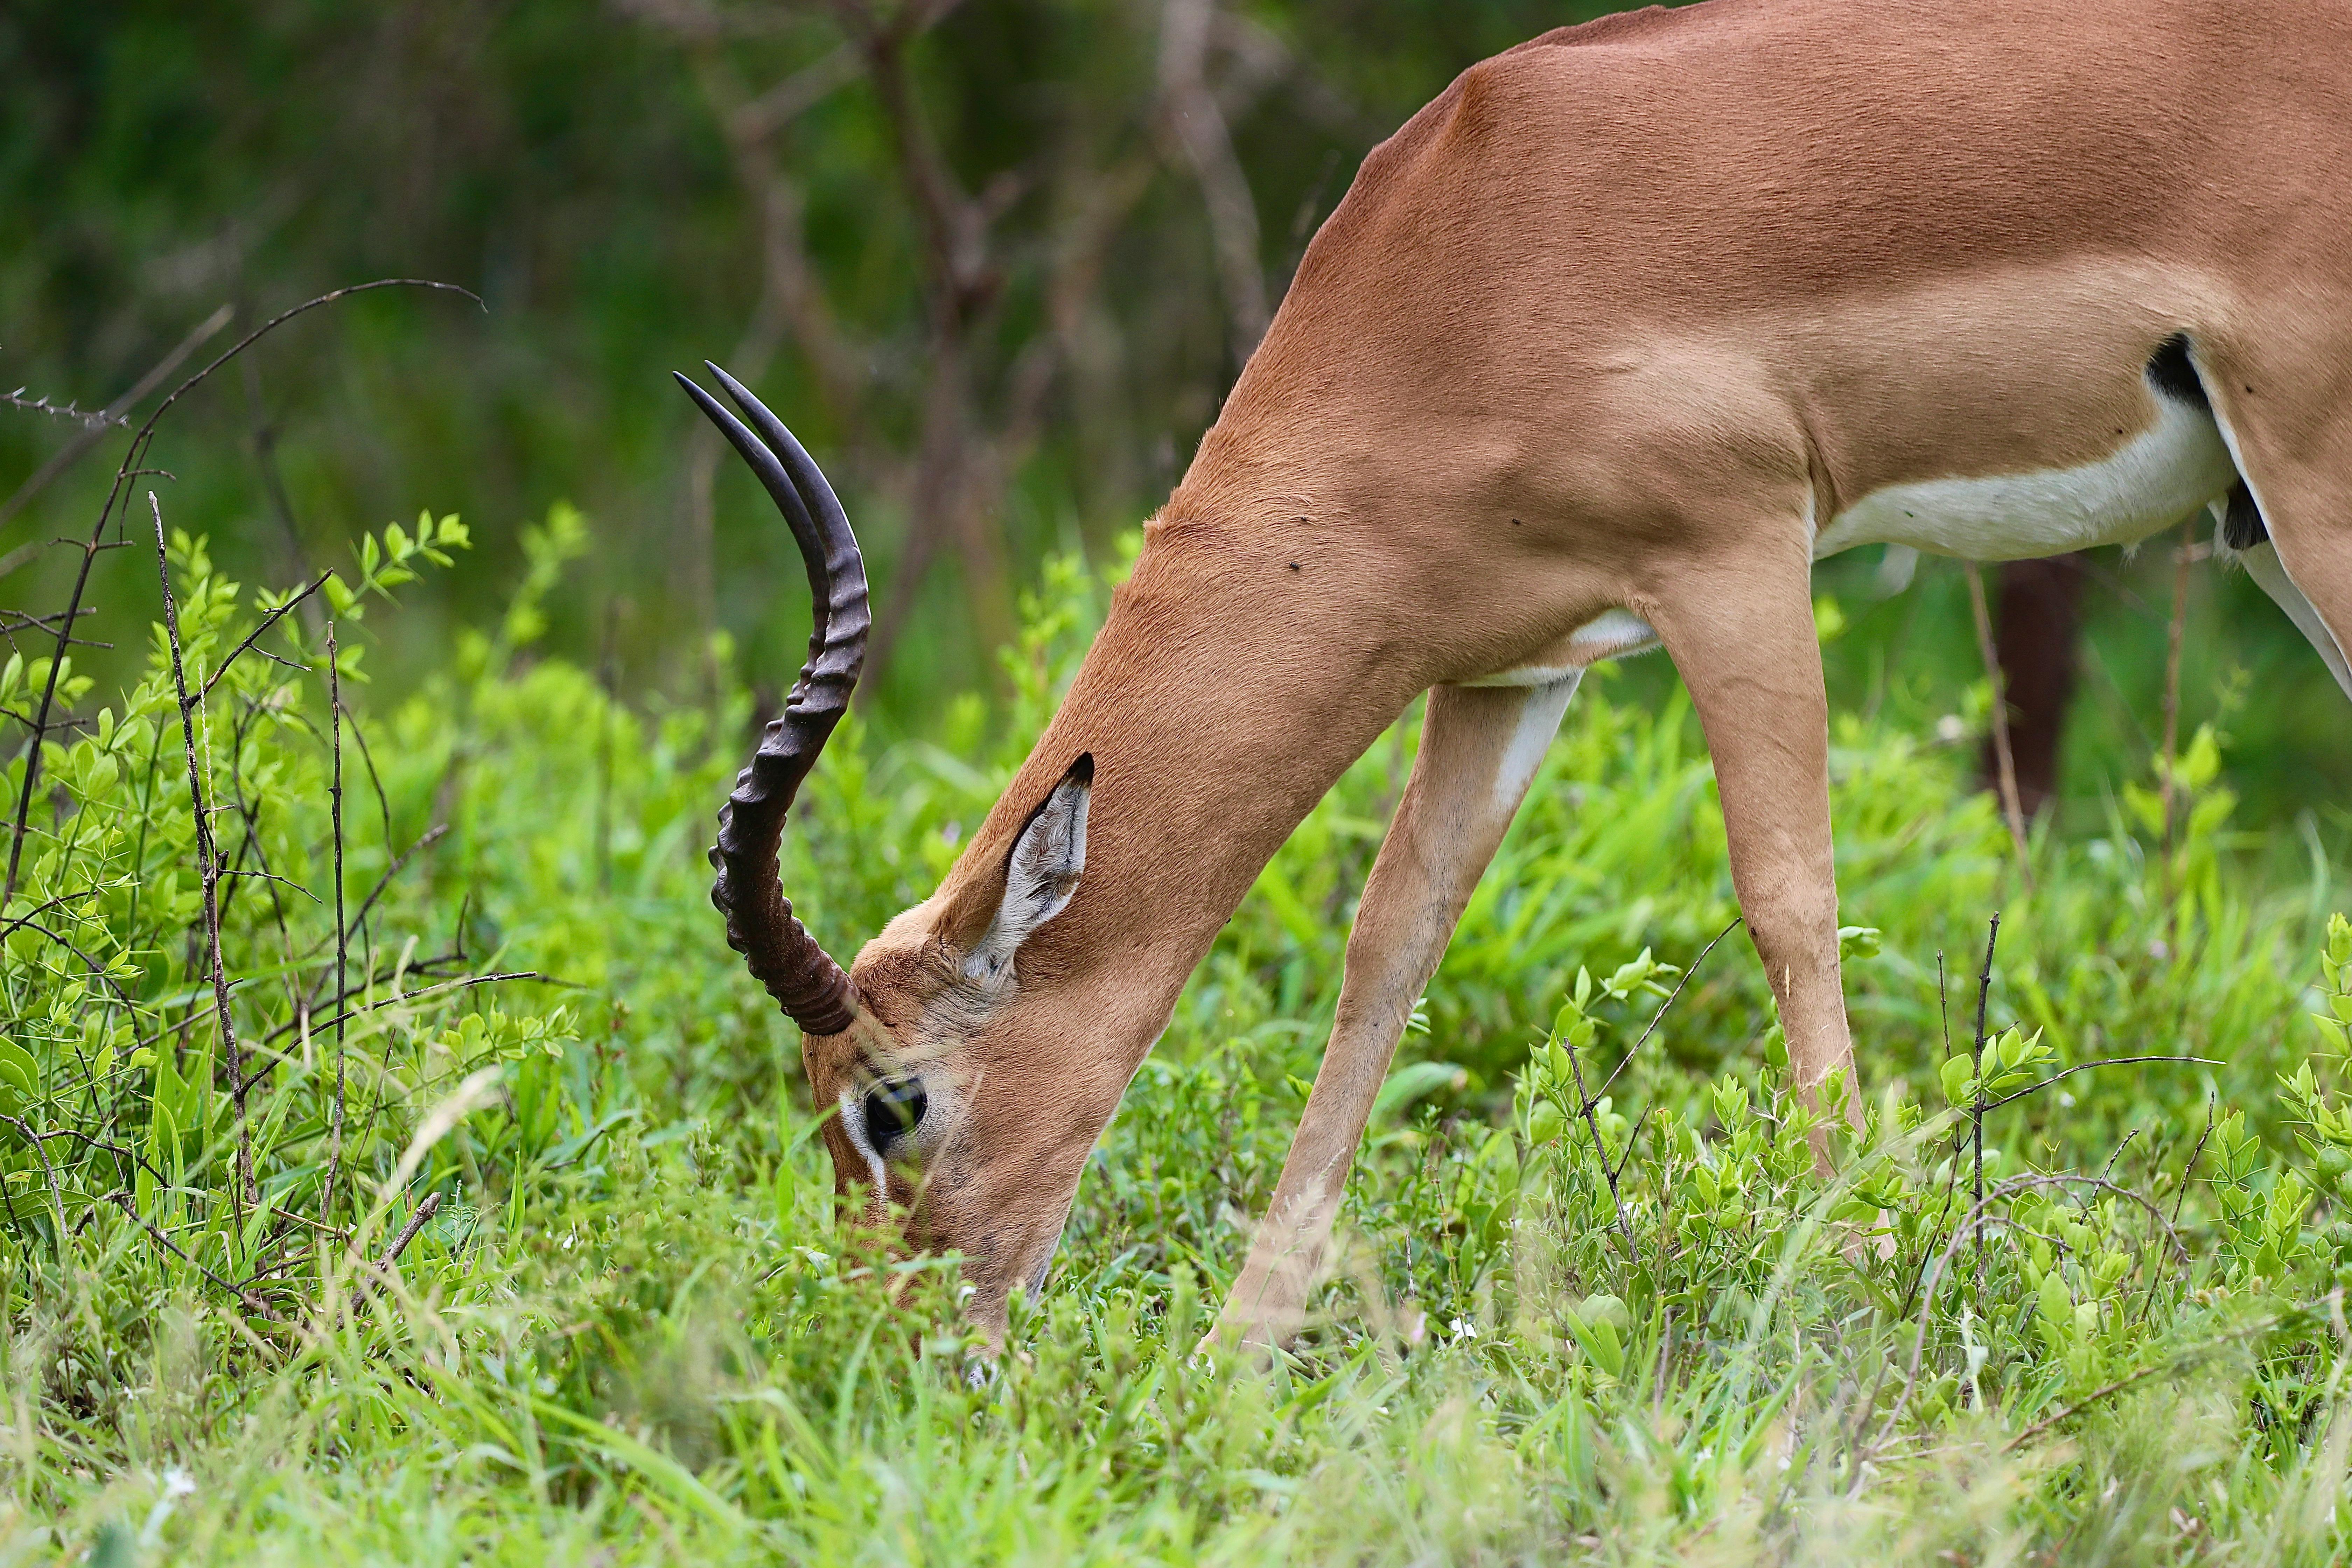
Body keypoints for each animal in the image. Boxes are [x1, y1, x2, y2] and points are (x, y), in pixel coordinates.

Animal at [682, 0, 2352, 1349]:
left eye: (891, 1102)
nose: (910, 1346)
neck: (1462, 248)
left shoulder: (1733, 552)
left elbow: (1786, 895)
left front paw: (1866, 1275)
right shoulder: (1502, 665)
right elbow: (1388, 946)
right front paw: (1232, 1355)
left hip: (2311, 497)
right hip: (2254, 525)